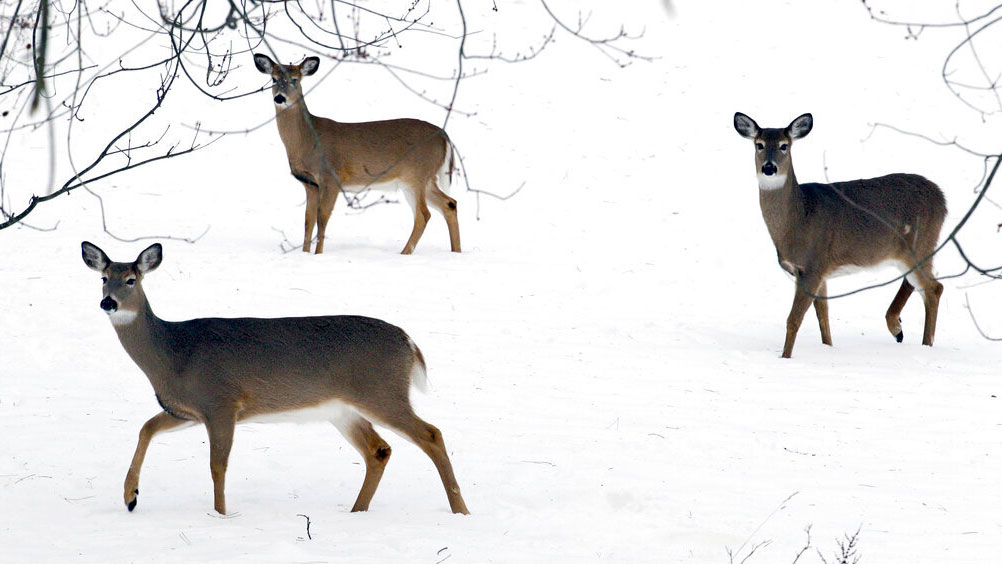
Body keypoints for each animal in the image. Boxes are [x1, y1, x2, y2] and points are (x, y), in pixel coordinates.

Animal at [79, 240, 468, 512]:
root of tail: (409, 342)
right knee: (379, 450)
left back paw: (459, 510)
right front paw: (130, 496)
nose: (108, 302)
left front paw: (220, 515)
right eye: (103, 278)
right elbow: (146, 427)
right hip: (344, 409)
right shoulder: (188, 410)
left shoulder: (221, 401)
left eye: (131, 279)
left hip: (381, 391)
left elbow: (217, 465)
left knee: (431, 434)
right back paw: (357, 511)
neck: (174, 353)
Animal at [256, 53, 462, 256]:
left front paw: (318, 255)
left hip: (417, 175)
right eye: (273, 79)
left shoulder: (331, 177)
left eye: (295, 80)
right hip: (423, 178)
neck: (307, 140)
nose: (280, 98)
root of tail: (444, 136)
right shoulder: (310, 184)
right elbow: (308, 220)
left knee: (423, 215)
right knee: (449, 203)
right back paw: (456, 252)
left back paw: (404, 253)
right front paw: (305, 254)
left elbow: (322, 218)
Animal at [733, 113, 941, 360]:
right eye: (759, 145)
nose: (768, 167)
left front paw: (785, 358)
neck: (799, 218)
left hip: (921, 244)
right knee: (916, 283)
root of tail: (942, 198)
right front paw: (828, 347)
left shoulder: (812, 266)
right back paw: (897, 328)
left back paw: (925, 344)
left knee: (934, 288)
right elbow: (823, 315)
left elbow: (794, 319)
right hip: (909, 252)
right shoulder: (820, 271)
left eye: (784, 146)